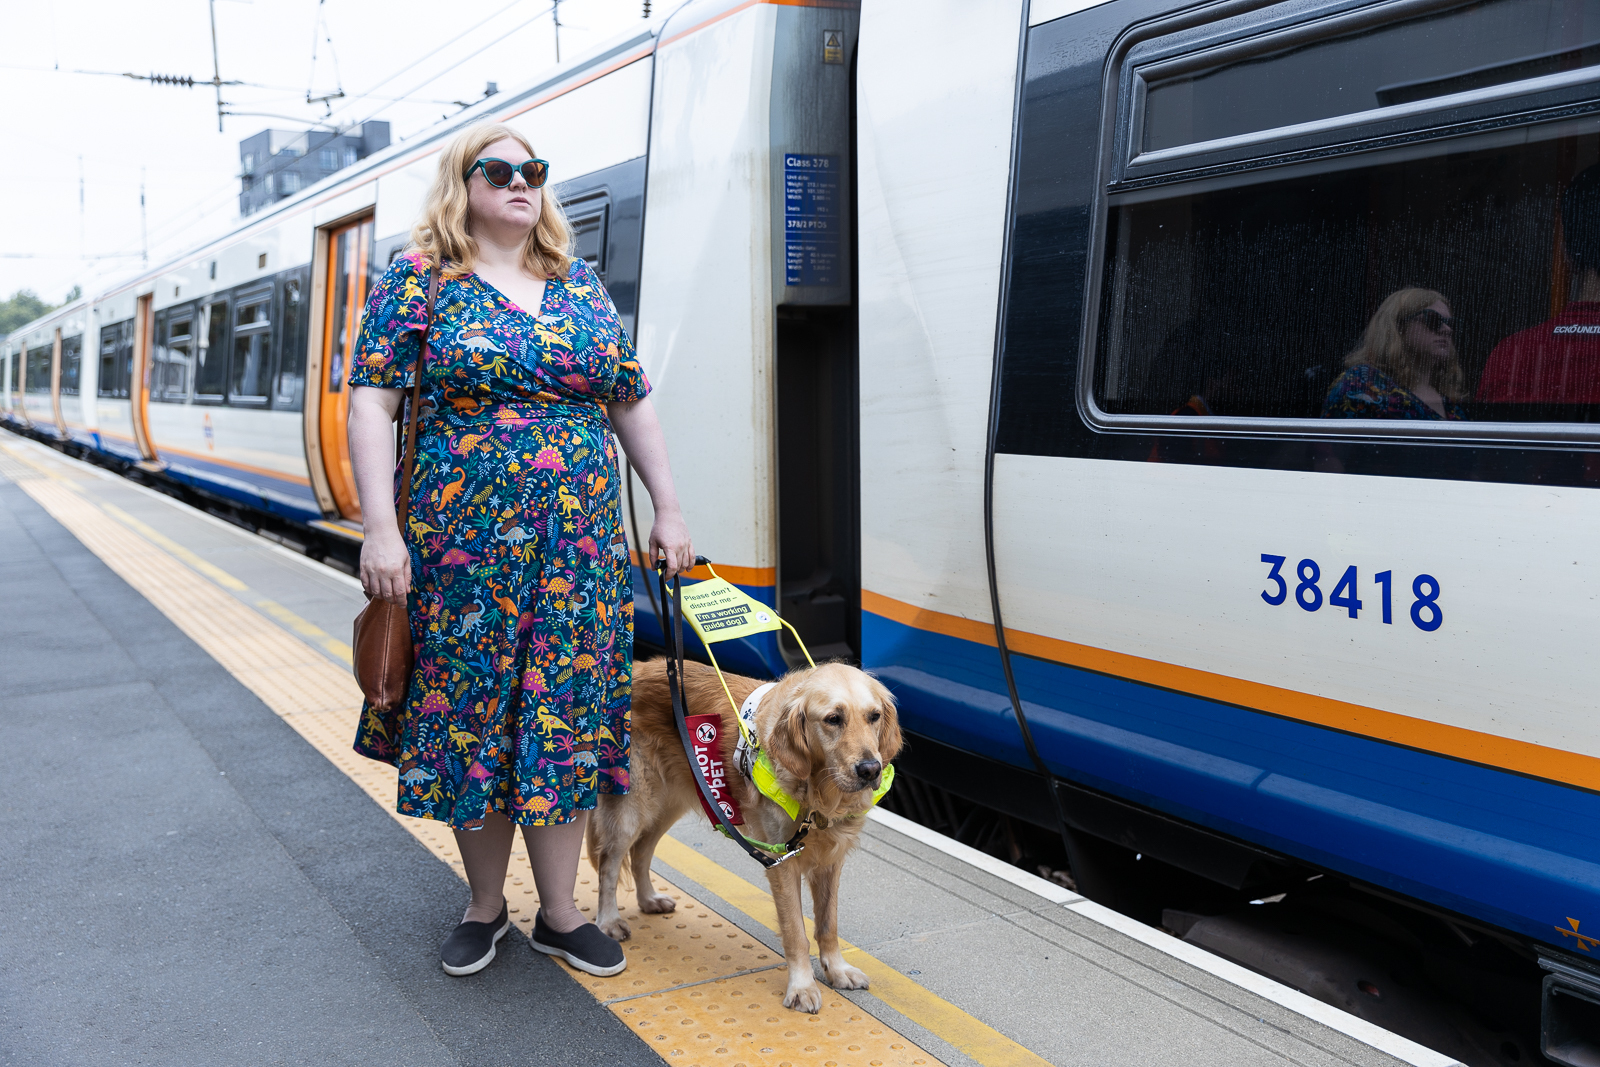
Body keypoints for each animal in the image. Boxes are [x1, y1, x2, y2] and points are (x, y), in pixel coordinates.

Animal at [592, 655, 902, 1017]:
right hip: (633, 803)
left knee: (641, 851)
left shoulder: (830, 860)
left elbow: (828, 924)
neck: (818, 791)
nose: (870, 769)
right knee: (610, 862)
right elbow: (795, 931)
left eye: (874, 716)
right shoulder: (782, 860)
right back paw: (608, 921)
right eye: (833, 719)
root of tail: (634, 669)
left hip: (672, 801)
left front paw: (837, 970)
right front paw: (802, 986)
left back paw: (648, 899)